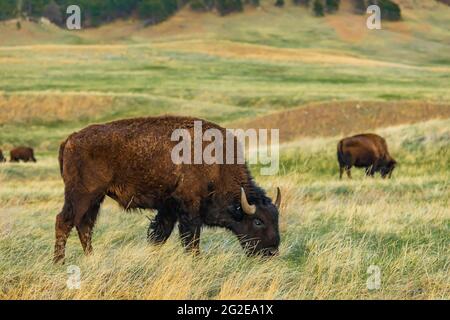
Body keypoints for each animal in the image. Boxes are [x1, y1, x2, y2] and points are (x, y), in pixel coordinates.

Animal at [53, 116, 282, 264]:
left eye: (275, 219)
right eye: (258, 221)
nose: (272, 252)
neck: (217, 165)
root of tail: (70, 139)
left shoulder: (169, 208)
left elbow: (159, 235)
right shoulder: (188, 209)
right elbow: (191, 240)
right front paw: (195, 261)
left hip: (95, 199)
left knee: (85, 225)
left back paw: (91, 258)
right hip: (82, 195)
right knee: (65, 221)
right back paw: (59, 263)